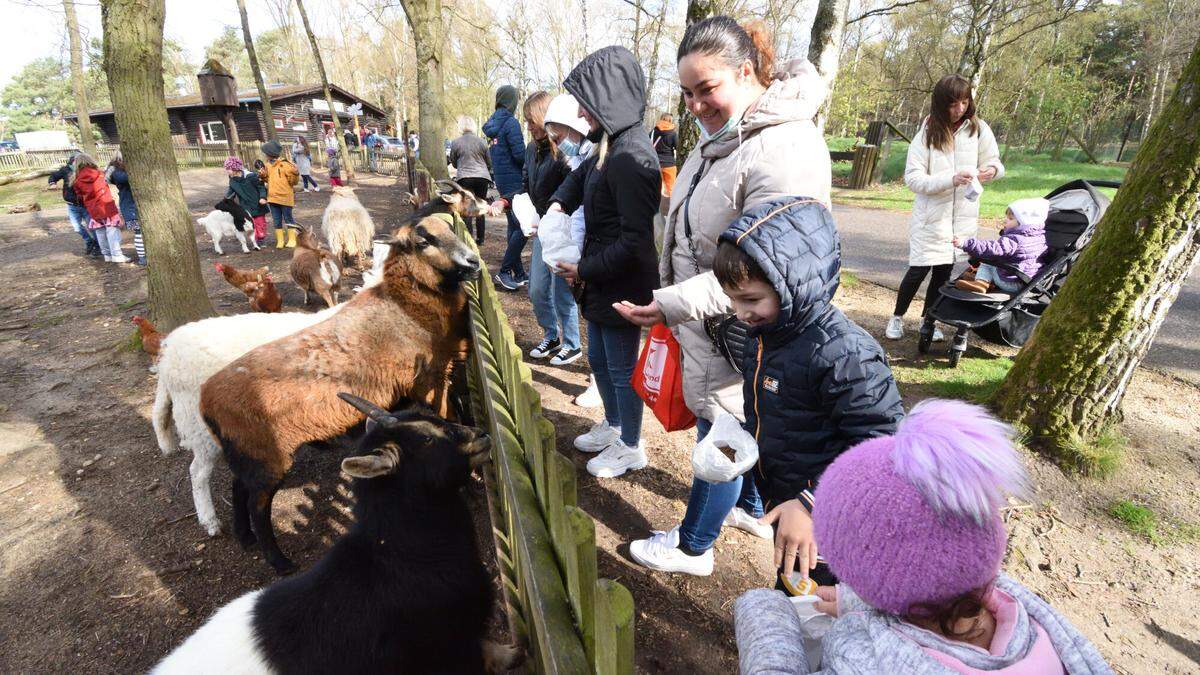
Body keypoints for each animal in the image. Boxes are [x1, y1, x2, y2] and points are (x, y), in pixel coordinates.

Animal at [199, 214, 480, 571]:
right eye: (423, 241)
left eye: (450, 228)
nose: (473, 262)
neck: (404, 307)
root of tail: (205, 398)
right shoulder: (429, 380)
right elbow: (450, 417)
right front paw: (472, 477)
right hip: (267, 456)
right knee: (257, 507)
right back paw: (279, 561)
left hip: (247, 452)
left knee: (238, 488)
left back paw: (244, 537)